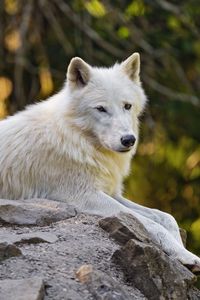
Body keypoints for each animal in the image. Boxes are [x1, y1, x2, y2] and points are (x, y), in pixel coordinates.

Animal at [0, 53, 200, 272]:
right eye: (101, 109)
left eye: (127, 106)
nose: (128, 140)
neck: (78, 139)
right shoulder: (86, 195)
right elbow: (150, 223)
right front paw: (186, 255)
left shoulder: (111, 192)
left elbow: (165, 217)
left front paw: (184, 252)